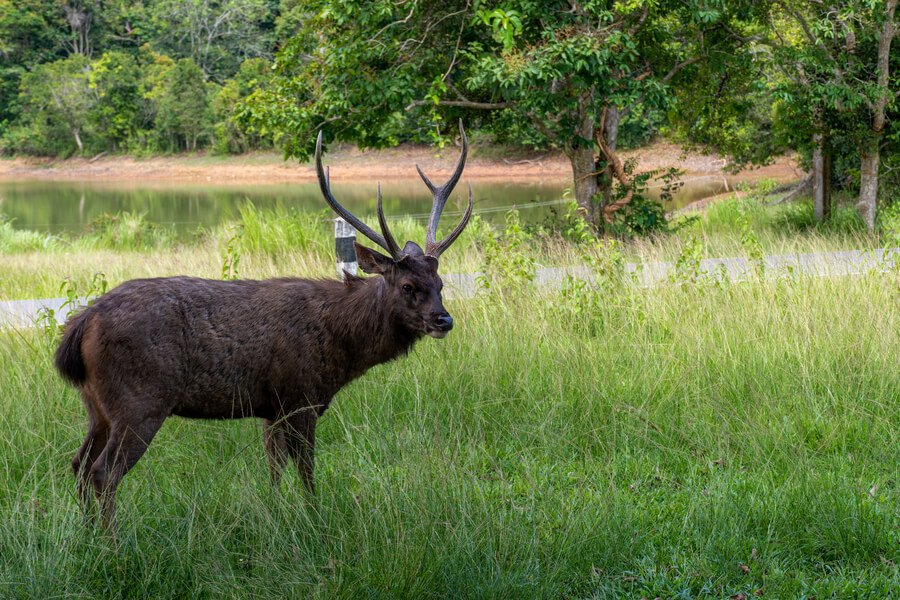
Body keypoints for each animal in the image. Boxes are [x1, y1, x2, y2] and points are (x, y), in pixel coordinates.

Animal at [53, 120, 474, 524]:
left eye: (440, 283)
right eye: (407, 285)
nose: (443, 319)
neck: (343, 345)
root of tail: (81, 324)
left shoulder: (272, 408)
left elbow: (274, 469)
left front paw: (275, 513)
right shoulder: (301, 396)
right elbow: (306, 470)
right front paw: (315, 518)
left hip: (97, 405)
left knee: (78, 463)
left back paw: (88, 533)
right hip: (139, 401)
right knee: (103, 472)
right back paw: (112, 540)